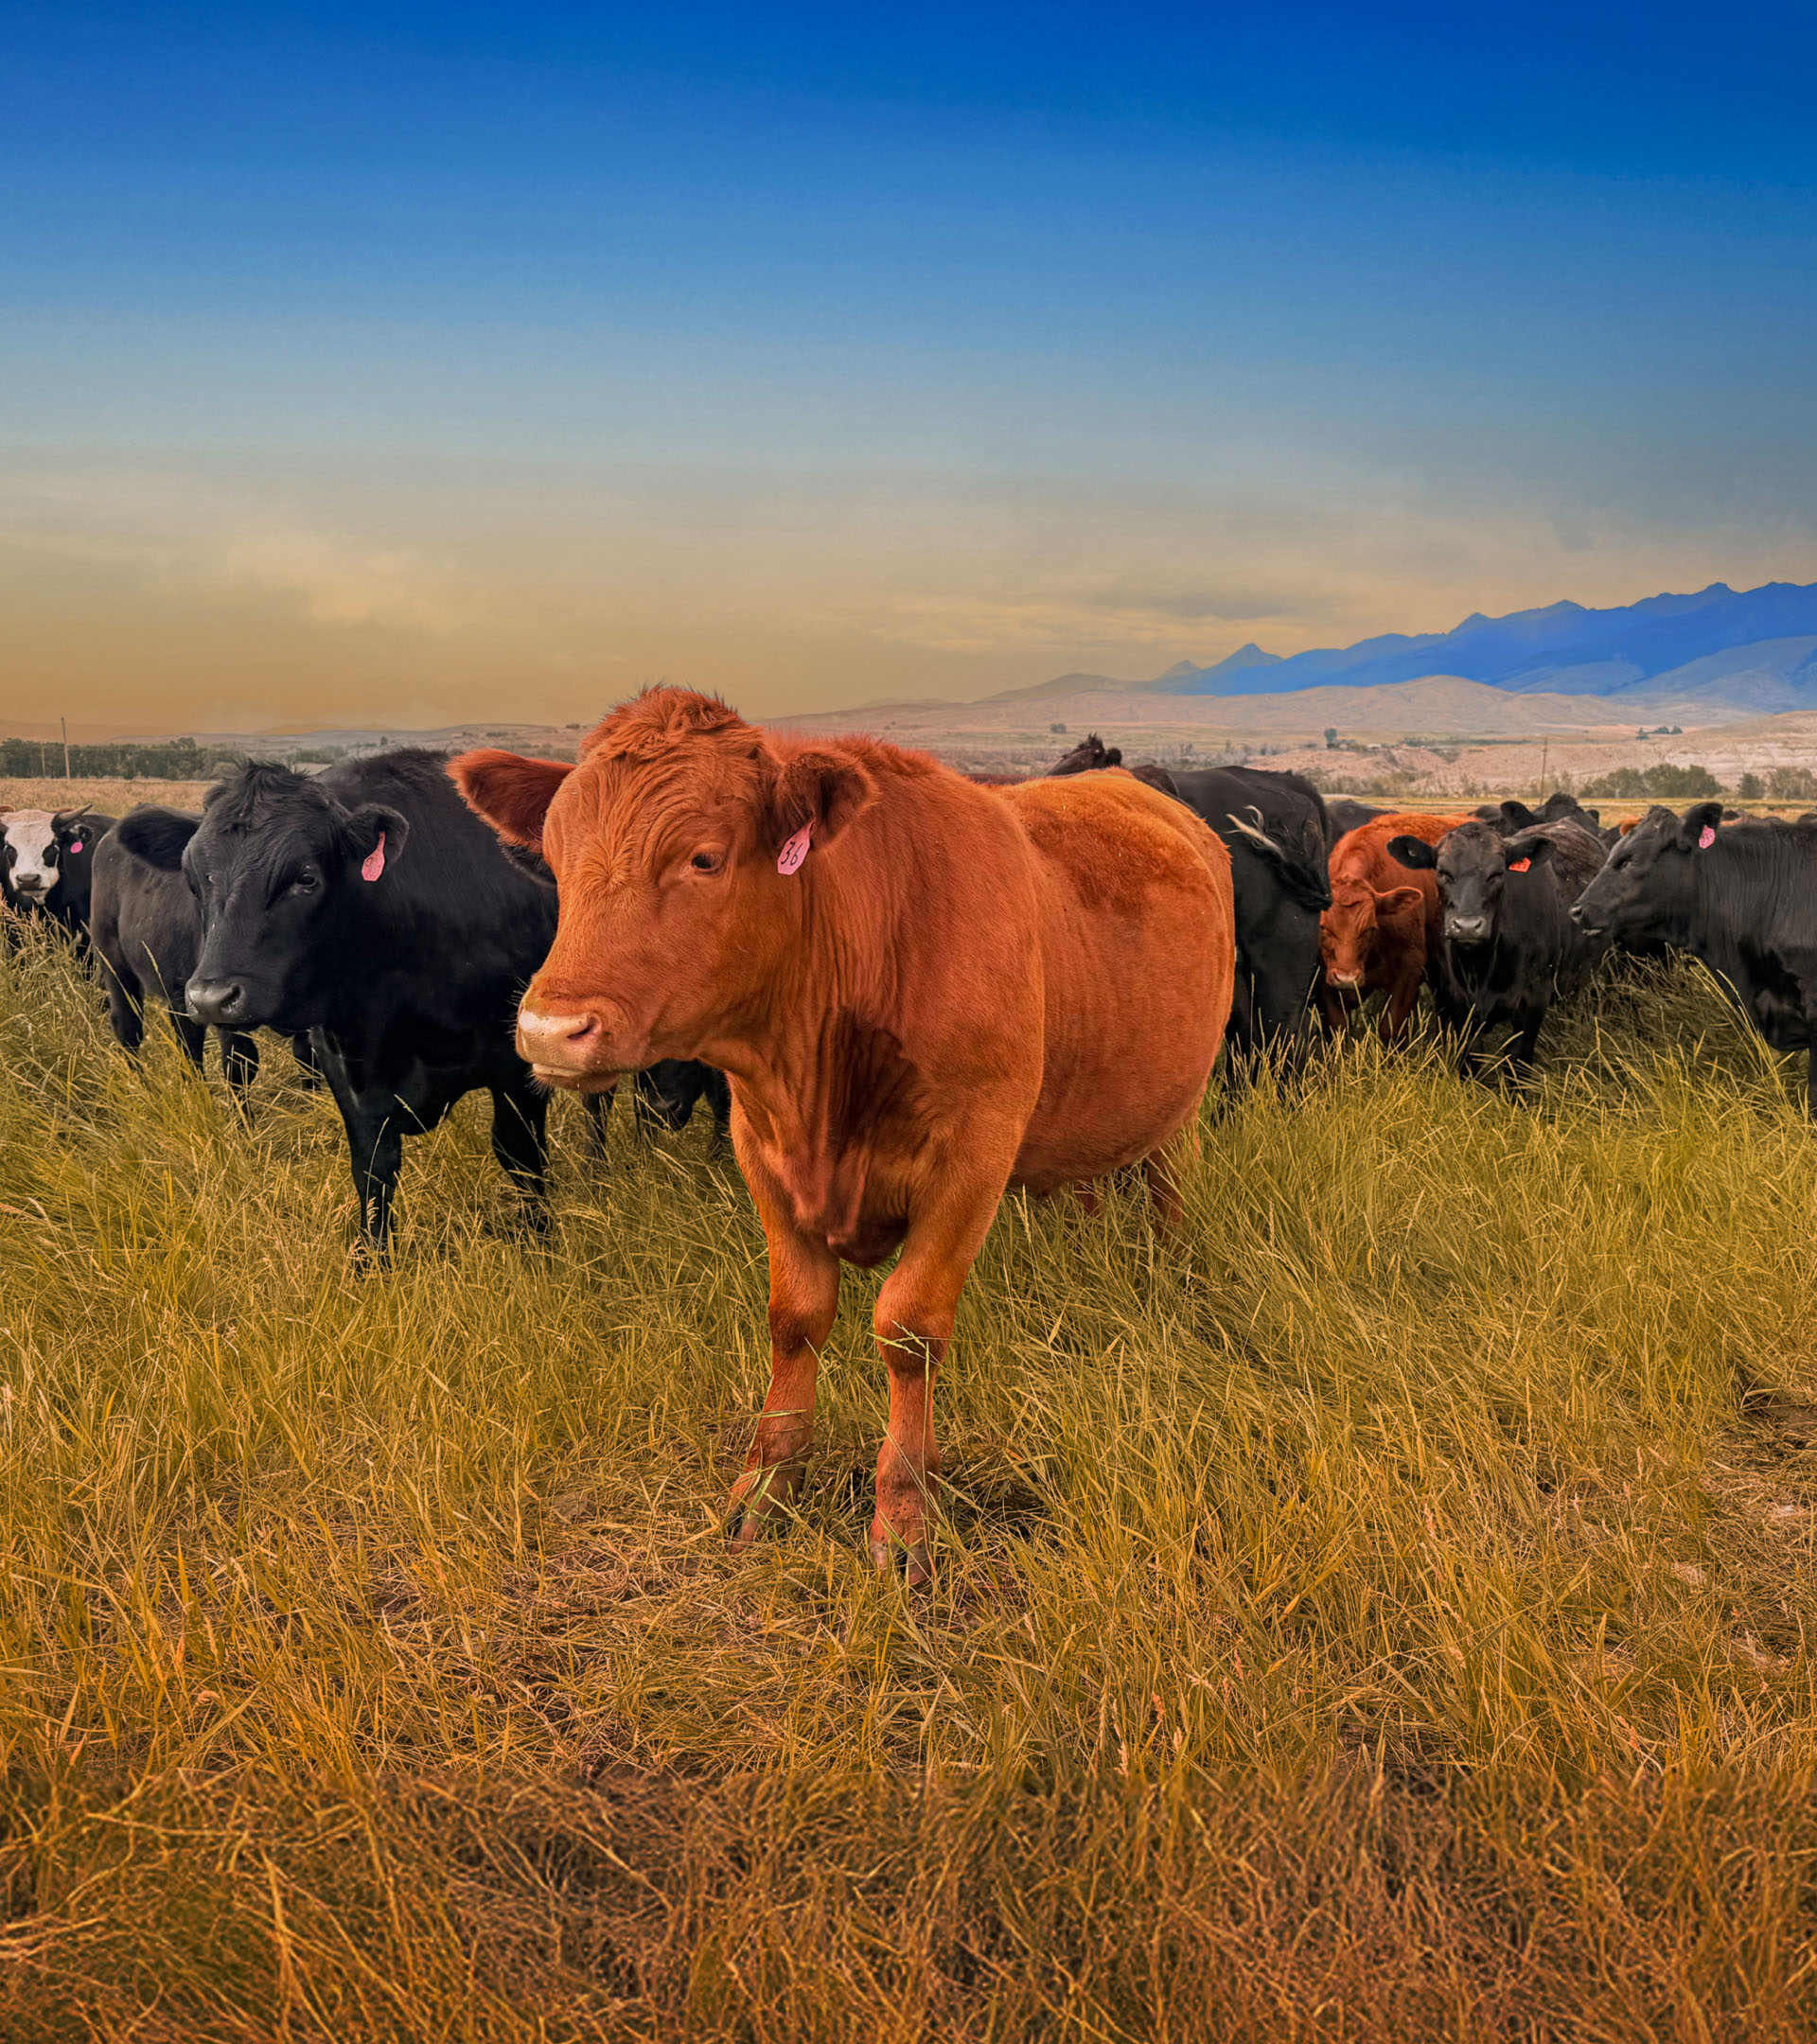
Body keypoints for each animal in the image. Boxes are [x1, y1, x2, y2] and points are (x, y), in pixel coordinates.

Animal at [114, 752, 562, 1253]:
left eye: (306, 878)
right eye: (193, 883)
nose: (211, 997)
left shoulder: (518, 1066)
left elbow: (521, 1157)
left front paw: (539, 1245)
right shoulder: (346, 1068)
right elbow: (372, 1171)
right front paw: (374, 1261)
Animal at [451, 686, 1236, 1585]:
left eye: (704, 859)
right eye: (552, 861)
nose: (550, 1031)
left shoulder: (972, 1160)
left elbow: (908, 1329)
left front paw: (904, 1512)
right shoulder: (762, 1150)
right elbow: (794, 1317)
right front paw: (766, 1486)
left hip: (1180, 1110)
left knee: (1169, 1200)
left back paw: (1168, 1284)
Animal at [1320, 812, 1469, 1041]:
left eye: (1371, 928)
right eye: (1323, 928)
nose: (1347, 978)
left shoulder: (1409, 972)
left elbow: (1390, 1029)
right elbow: (1338, 1029)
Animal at [1385, 818, 1608, 1075]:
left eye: (1498, 873)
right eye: (1442, 872)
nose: (1467, 926)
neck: (1478, 970)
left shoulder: (1534, 998)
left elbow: (1517, 1061)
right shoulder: (1450, 1000)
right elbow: (1469, 1060)